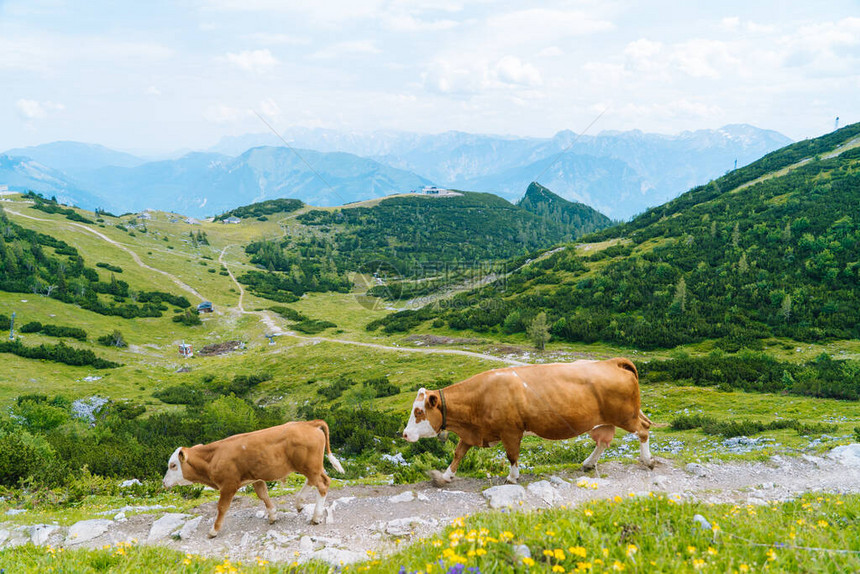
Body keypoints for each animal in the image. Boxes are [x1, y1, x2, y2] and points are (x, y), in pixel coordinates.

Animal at [163, 420, 344, 536]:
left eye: (173, 465)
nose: (164, 482)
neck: (214, 457)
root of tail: (308, 423)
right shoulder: (256, 478)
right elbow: (263, 496)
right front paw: (272, 515)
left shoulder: (228, 485)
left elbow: (222, 507)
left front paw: (214, 530)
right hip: (311, 467)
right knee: (316, 481)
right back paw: (299, 503)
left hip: (310, 466)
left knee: (322, 485)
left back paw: (315, 517)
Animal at [404, 360, 652, 486]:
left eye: (418, 411)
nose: (405, 434)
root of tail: (613, 362)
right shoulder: (473, 433)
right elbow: (458, 453)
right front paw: (446, 476)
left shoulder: (510, 431)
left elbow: (512, 455)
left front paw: (512, 477)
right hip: (608, 420)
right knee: (603, 442)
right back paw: (589, 463)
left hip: (626, 415)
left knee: (644, 429)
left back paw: (647, 460)